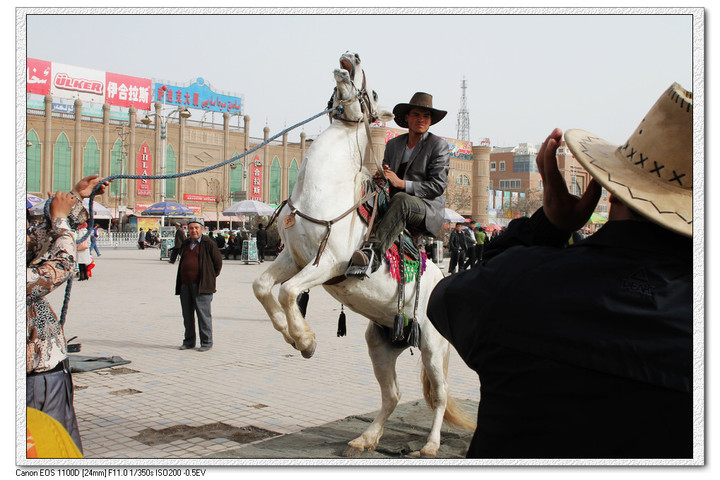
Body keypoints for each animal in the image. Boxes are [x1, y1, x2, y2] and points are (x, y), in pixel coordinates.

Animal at [250, 51, 476, 458]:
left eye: (371, 91)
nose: (351, 58)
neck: (325, 190)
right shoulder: (292, 258)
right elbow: (263, 287)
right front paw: (289, 334)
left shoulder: (328, 263)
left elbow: (288, 292)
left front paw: (305, 341)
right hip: (382, 345)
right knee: (392, 395)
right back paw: (365, 439)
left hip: (433, 347)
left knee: (439, 395)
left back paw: (430, 445)